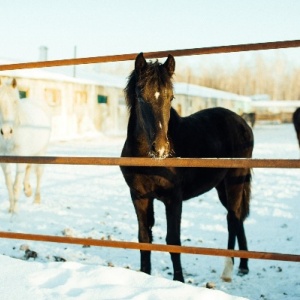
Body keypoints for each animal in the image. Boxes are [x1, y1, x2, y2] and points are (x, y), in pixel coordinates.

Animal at [119, 52, 253, 282]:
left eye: (171, 97)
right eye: (140, 96)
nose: (161, 149)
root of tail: (242, 122)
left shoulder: (174, 198)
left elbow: (173, 240)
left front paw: (179, 281)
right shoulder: (139, 196)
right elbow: (144, 237)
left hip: (235, 180)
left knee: (233, 218)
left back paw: (228, 270)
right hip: (221, 186)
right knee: (237, 218)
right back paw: (243, 266)